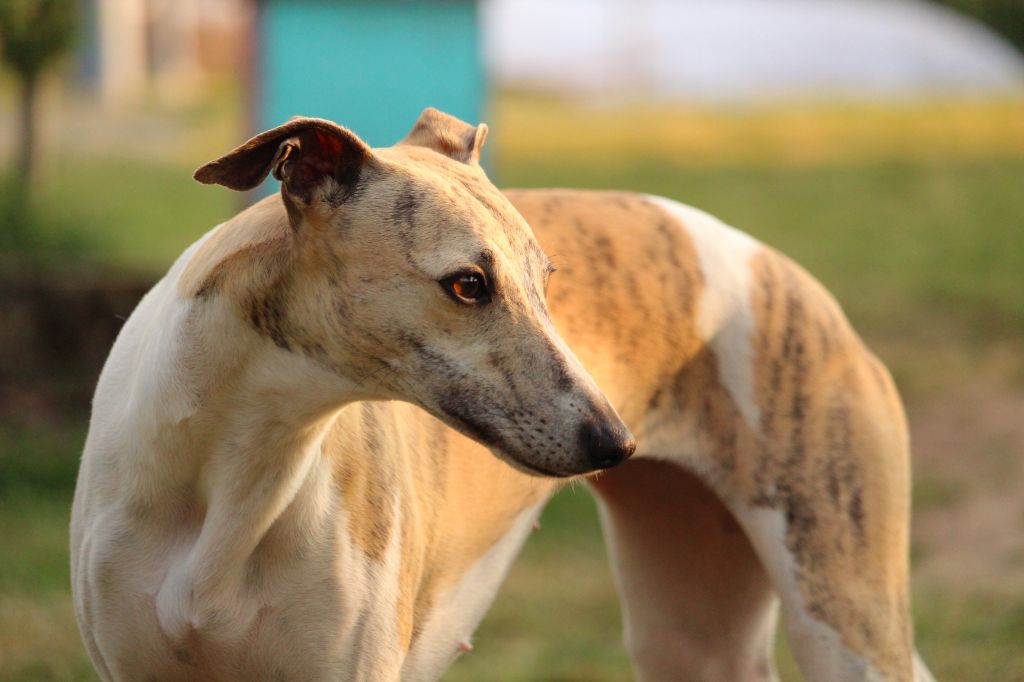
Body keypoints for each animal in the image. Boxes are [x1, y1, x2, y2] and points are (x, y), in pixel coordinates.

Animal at [72, 107, 937, 679]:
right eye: (467, 284)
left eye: (547, 278)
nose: (615, 443)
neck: (234, 461)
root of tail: (778, 266)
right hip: (690, 624)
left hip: (842, 607)